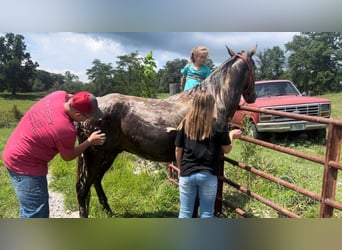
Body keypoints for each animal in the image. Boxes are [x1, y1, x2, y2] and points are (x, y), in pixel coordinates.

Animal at [75, 45, 256, 217]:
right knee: (83, 187)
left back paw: (108, 211)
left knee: (96, 181)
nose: (252, 97)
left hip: (109, 154)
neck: (213, 101)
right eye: (254, 67)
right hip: (95, 156)